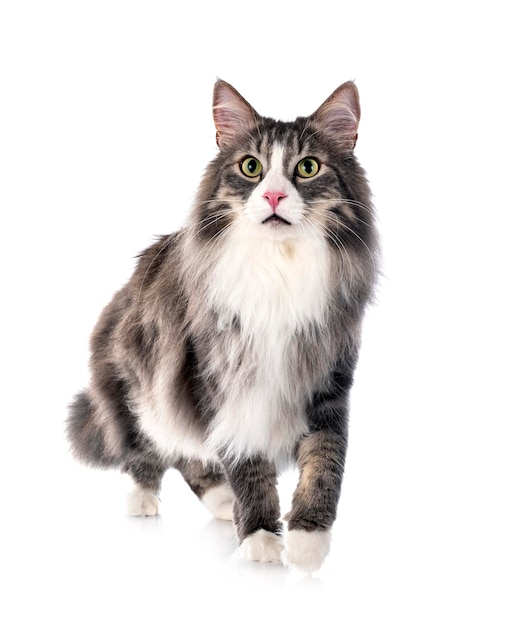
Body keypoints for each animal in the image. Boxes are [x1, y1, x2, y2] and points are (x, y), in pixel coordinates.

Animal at [65, 78, 378, 572]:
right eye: (251, 167)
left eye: (307, 167)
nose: (273, 196)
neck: (279, 265)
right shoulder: (221, 380)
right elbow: (247, 462)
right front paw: (261, 537)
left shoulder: (328, 381)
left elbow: (325, 463)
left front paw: (308, 540)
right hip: (138, 382)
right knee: (145, 446)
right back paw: (146, 499)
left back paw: (222, 503)